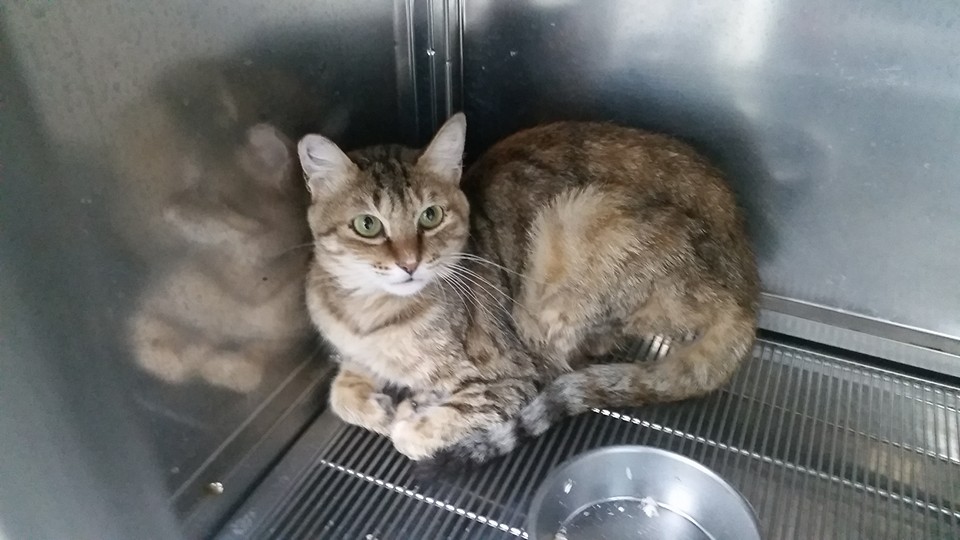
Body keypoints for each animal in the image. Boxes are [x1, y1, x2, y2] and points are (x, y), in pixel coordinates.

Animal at [298, 113, 758, 464]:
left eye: (431, 216)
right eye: (367, 225)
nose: (409, 263)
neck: (369, 318)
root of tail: (747, 299)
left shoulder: (510, 377)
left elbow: (407, 434)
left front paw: (410, 412)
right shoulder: (354, 353)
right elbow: (340, 393)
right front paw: (377, 407)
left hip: (574, 231)